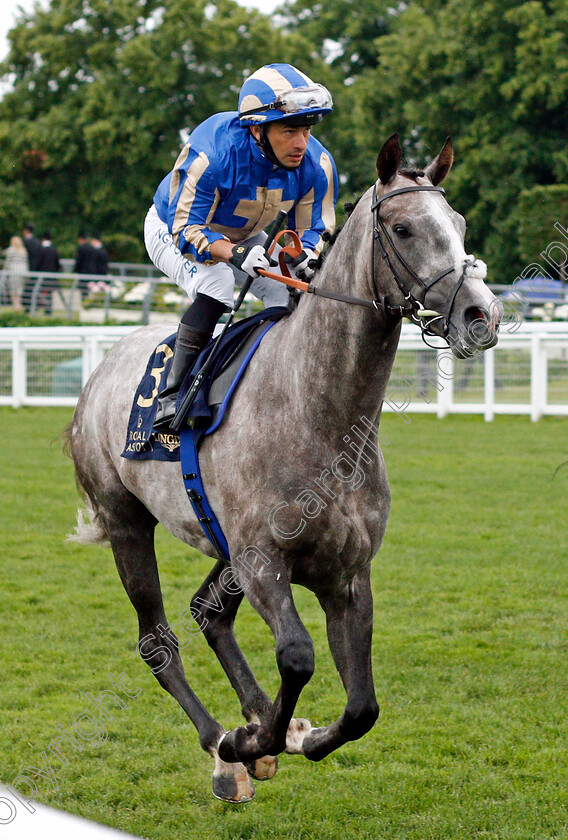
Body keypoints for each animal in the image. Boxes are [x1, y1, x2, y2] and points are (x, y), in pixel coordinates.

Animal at [65, 135, 502, 804]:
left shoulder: (347, 574)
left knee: (209, 613)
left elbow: (362, 708)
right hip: (127, 522)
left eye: (458, 225)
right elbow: (297, 655)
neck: (319, 412)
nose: (482, 315)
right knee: (157, 641)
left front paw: (292, 734)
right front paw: (248, 742)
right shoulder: (262, 559)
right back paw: (224, 747)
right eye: (403, 229)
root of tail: (98, 375)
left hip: (220, 542)